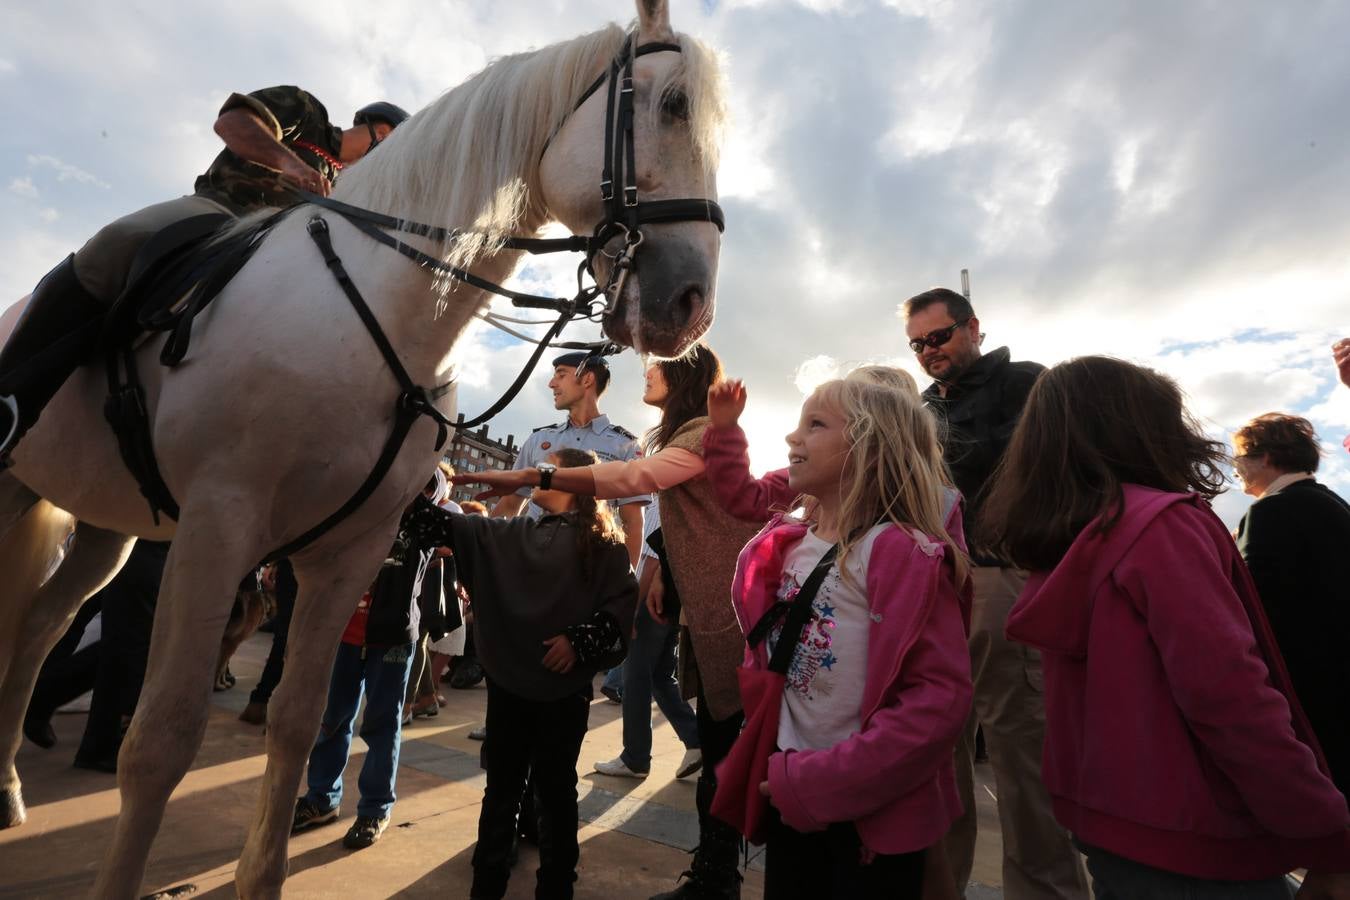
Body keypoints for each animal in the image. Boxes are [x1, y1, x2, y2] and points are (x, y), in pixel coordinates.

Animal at [0, 3, 729, 895]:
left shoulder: (347, 548)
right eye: (672, 107)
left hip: (103, 523)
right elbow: (162, 738)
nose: (691, 305)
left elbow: (301, 719)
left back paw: (5, 785)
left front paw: (264, 872)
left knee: (40, 625)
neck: (375, 307)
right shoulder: (218, 526)